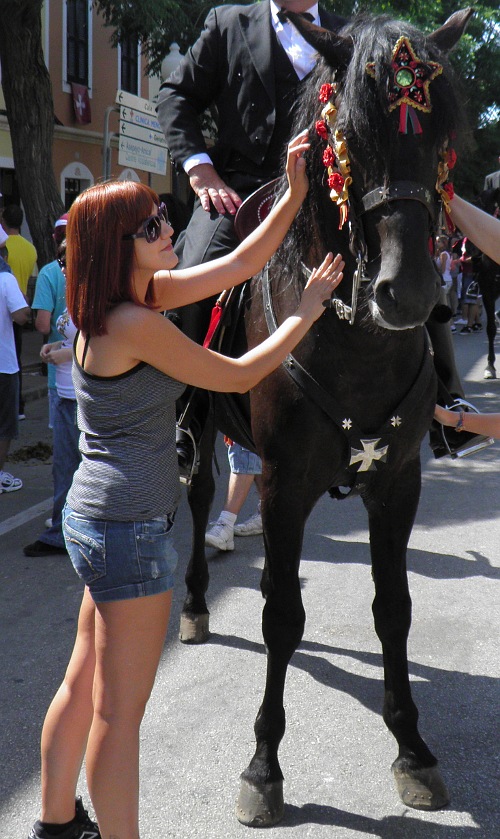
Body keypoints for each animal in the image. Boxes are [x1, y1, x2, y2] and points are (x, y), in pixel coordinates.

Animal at [179, 6, 472, 828]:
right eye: (351, 134)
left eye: (441, 136)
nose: (410, 292)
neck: (354, 339)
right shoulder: (283, 485)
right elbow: (282, 617)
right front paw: (263, 767)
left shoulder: (395, 482)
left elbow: (394, 608)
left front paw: (412, 749)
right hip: (202, 430)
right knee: (200, 498)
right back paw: (194, 603)